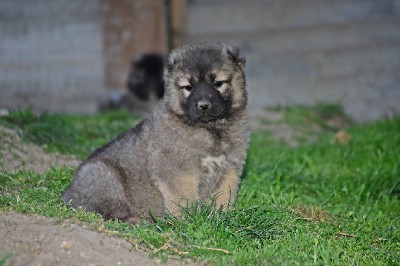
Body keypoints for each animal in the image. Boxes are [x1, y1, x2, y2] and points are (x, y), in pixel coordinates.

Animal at [61, 43, 250, 222]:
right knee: (107, 212)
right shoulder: (178, 172)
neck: (210, 129)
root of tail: (68, 194)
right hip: (102, 175)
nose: (203, 105)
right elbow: (184, 199)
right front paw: (189, 222)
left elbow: (223, 198)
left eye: (218, 83)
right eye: (188, 87)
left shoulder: (229, 170)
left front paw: (221, 217)